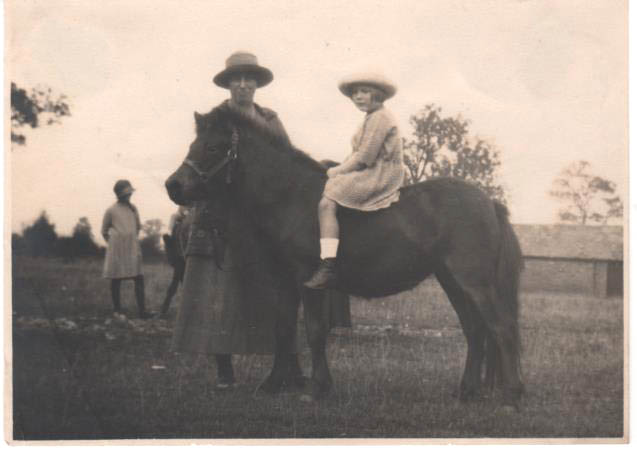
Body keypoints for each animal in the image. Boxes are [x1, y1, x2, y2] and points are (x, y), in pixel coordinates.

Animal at [166, 107, 524, 410]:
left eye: (213, 148)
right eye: (193, 144)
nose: (173, 185)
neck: (291, 196)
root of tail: (488, 201)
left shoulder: (307, 280)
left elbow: (314, 331)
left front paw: (317, 388)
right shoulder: (285, 282)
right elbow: (283, 328)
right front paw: (272, 384)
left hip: (474, 281)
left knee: (501, 327)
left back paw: (510, 397)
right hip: (452, 281)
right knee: (475, 330)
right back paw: (467, 391)